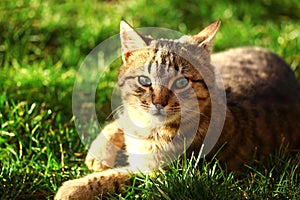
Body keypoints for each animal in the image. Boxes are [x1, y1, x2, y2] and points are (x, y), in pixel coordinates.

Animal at [54, 20, 300, 200]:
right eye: (145, 80)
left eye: (181, 82)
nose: (159, 102)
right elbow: (122, 119)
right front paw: (99, 152)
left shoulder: (161, 176)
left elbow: (116, 177)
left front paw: (73, 188)